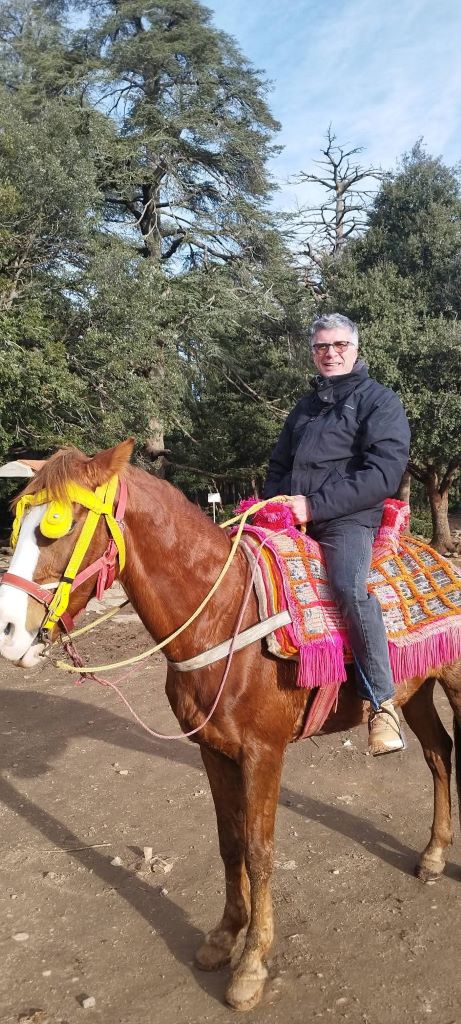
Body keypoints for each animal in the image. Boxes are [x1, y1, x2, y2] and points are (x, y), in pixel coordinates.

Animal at [1, 438, 460, 1012]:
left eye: (58, 524)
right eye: (18, 523)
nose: (8, 633)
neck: (221, 615)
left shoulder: (264, 753)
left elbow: (261, 853)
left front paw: (252, 965)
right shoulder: (212, 749)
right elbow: (229, 841)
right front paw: (224, 937)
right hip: (415, 689)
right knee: (439, 752)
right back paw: (434, 855)